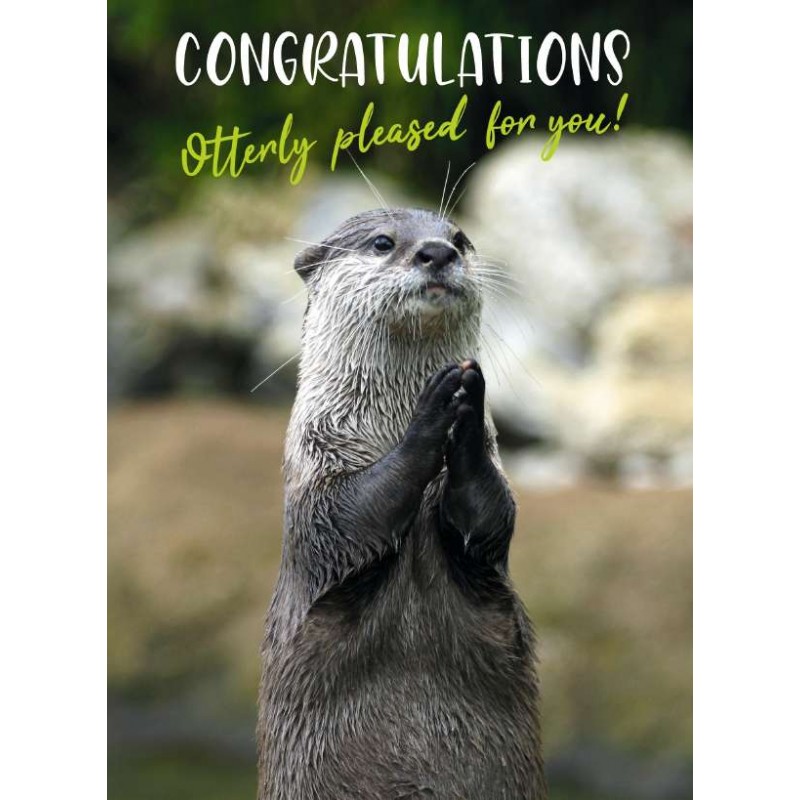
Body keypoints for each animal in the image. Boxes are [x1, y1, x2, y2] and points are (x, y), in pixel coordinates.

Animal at [257, 208, 546, 799]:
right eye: (382, 243)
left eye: (460, 238)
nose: (437, 252)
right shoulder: (316, 483)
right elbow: (350, 515)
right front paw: (436, 406)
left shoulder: (490, 505)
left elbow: (491, 515)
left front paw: (468, 398)